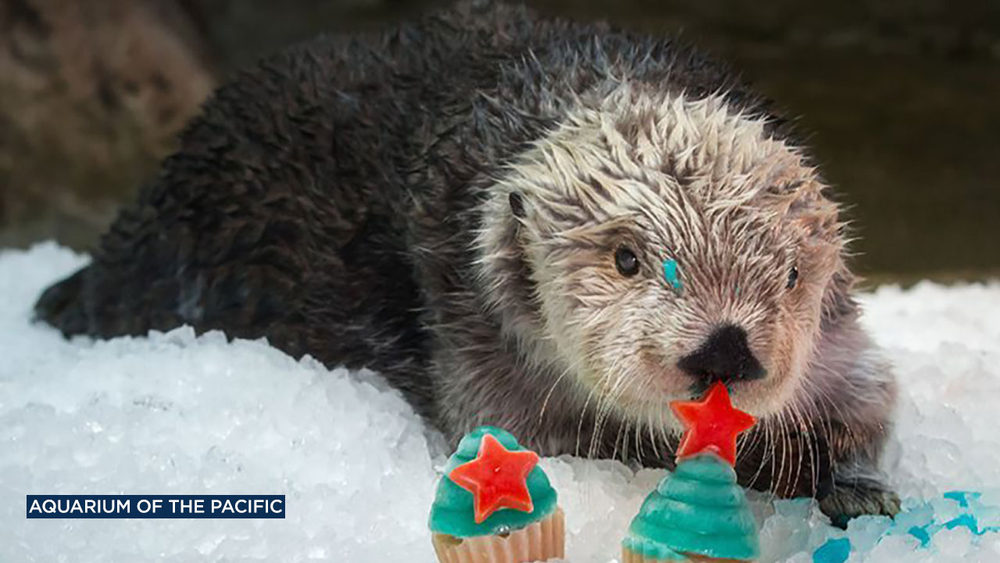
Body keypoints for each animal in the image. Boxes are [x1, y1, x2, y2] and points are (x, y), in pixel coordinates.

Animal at [34, 1, 899, 524]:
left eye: (792, 276)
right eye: (627, 258)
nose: (724, 349)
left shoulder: (837, 346)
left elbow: (866, 406)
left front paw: (858, 491)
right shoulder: (477, 348)